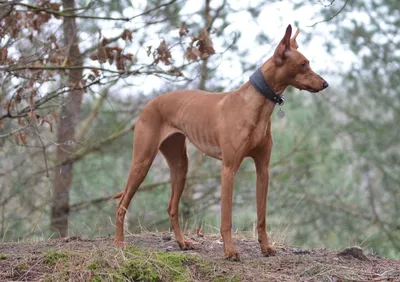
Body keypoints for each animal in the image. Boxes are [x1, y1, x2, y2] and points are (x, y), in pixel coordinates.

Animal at [112, 24, 328, 260]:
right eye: (303, 64)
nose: (325, 84)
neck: (256, 106)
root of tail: (149, 103)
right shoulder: (228, 168)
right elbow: (227, 218)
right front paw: (230, 251)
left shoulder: (263, 169)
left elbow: (261, 216)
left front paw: (265, 247)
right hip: (142, 162)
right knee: (121, 205)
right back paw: (119, 243)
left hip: (180, 166)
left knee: (171, 207)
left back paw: (181, 242)